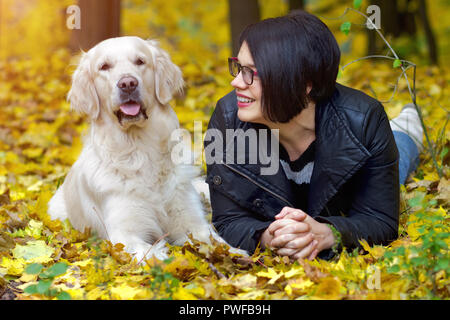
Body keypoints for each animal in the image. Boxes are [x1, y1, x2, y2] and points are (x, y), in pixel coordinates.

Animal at [48, 36, 244, 262]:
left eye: (140, 61)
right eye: (104, 67)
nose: (127, 83)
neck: (140, 149)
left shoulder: (191, 220)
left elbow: (215, 240)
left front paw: (238, 253)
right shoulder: (124, 234)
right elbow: (153, 255)